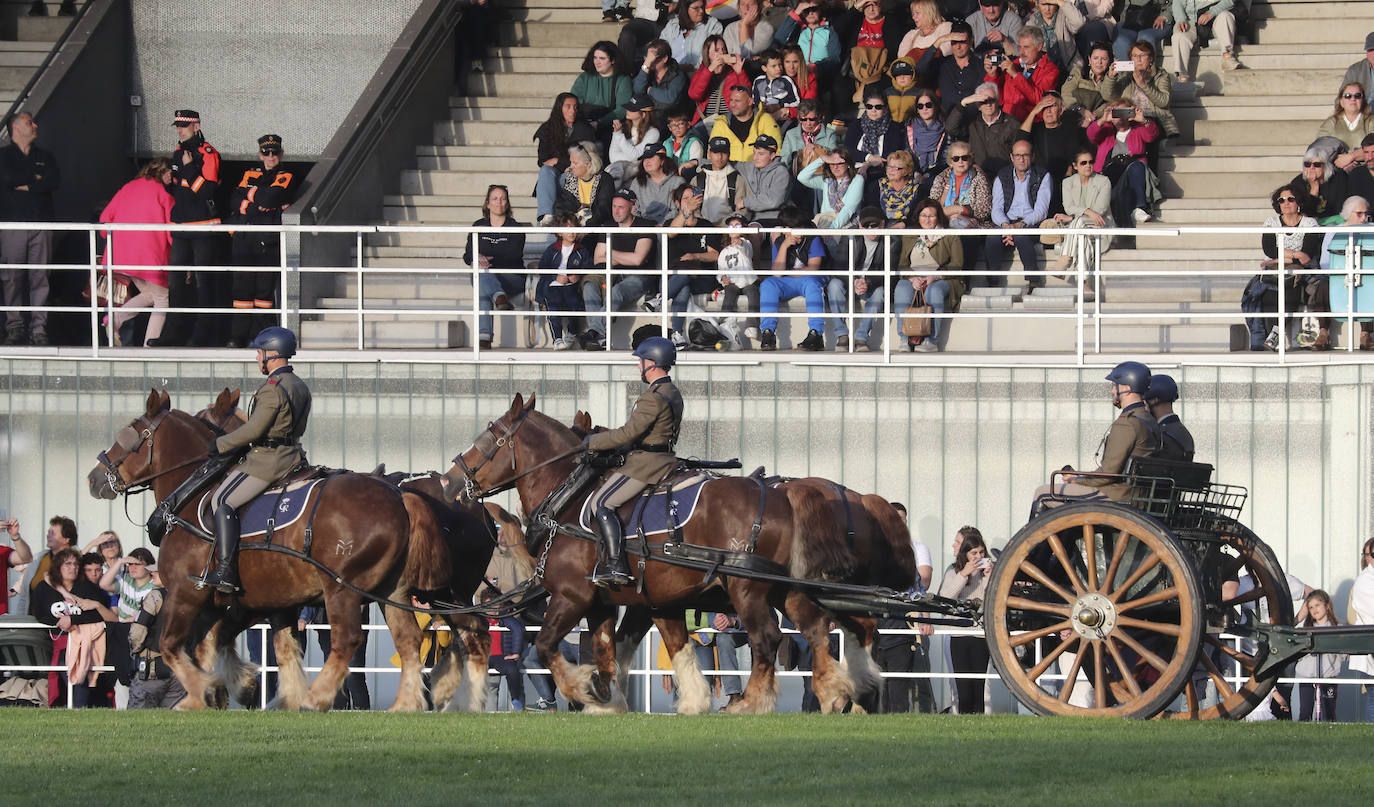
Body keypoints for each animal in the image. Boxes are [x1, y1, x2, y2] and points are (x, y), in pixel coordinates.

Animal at [88, 390, 442, 714]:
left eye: (128, 435)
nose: (94, 478)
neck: (196, 494)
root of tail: (398, 497)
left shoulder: (187, 593)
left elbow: (173, 645)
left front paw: (205, 690)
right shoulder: (261, 602)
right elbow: (260, 645)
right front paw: (245, 689)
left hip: (342, 590)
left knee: (347, 640)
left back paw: (317, 698)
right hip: (392, 591)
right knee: (409, 640)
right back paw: (405, 703)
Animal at [445, 390, 884, 714]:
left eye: (488, 438)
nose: (450, 482)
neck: (570, 497)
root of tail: (780, 495)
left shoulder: (574, 596)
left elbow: (548, 644)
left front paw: (586, 691)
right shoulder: (632, 602)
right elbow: (624, 648)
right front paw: (614, 699)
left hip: (747, 590)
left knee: (769, 637)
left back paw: (754, 703)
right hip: (784, 589)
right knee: (820, 627)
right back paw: (836, 693)